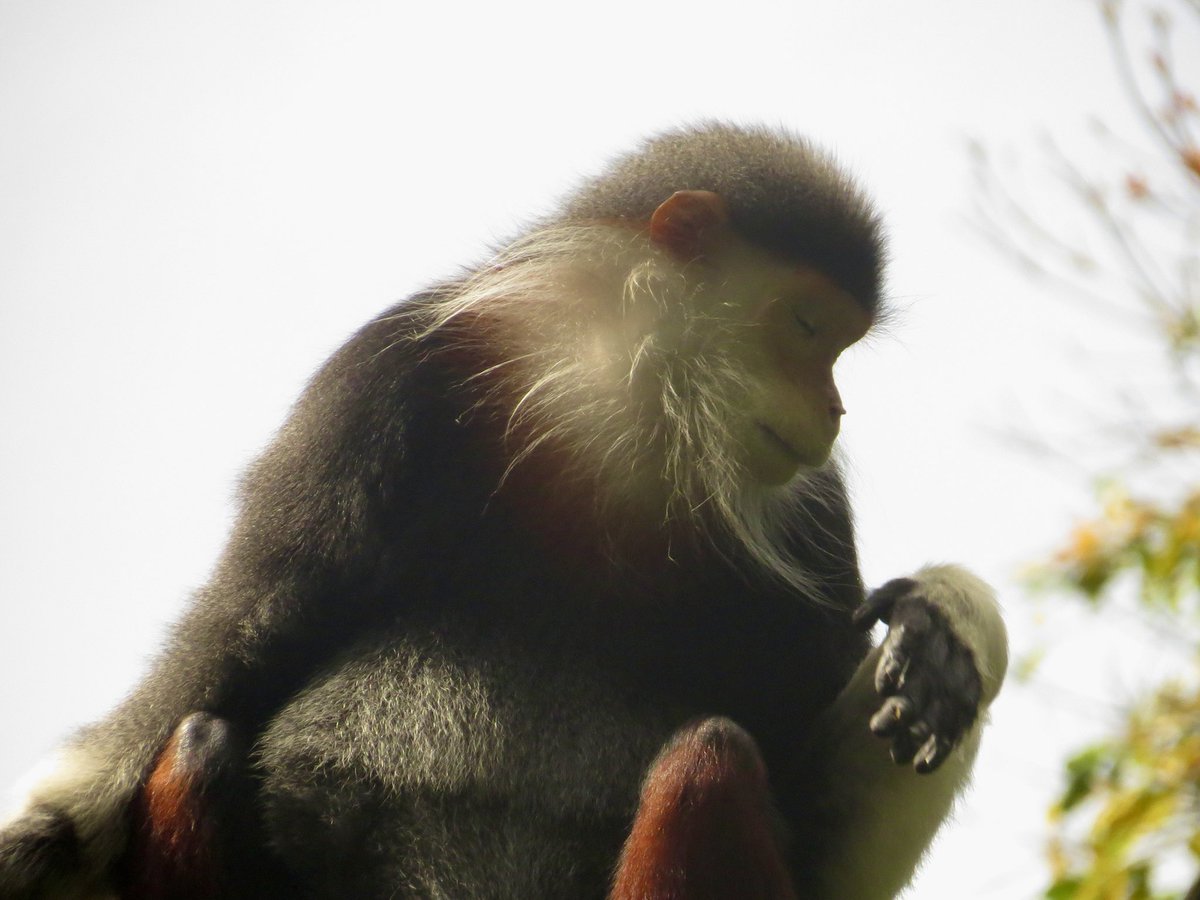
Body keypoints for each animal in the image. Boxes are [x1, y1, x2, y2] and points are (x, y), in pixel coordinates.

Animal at [0, 123, 1007, 899]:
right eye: (806, 328)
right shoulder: (371, 386)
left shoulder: (811, 504)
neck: (614, 431)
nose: (835, 409)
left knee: (711, 758)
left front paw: (948, 625)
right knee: (198, 739)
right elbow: (236, 632)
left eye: (838, 349)